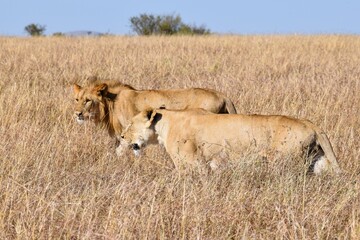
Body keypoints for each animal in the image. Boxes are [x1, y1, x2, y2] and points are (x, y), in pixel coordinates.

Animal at [72, 80, 236, 156]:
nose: (77, 113)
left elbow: (121, 151)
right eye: (77, 99)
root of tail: (224, 96)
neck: (111, 103)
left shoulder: (130, 133)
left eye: (87, 100)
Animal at [120, 109, 340, 174]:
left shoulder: (193, 165)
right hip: (319, 163)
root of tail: (311, 124)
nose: (121, 137)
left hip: (282, 163)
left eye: (130, 124)